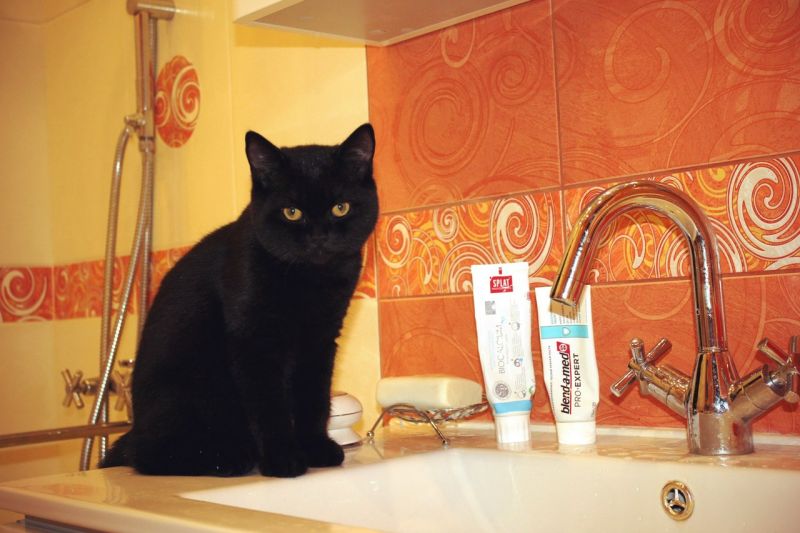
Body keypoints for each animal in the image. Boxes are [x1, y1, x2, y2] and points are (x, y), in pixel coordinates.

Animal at [100, 124, 378, 478]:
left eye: (340, 207)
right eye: (292, 212)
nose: (318, 237)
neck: (307, 280)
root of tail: (134, 430)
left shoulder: (320, 340)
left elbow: (313, 398)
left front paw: (315, 448)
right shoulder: (253, 343)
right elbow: (269, 406)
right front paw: (283, 458)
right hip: (190, 393)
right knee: (149, 456)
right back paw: (229, 457)